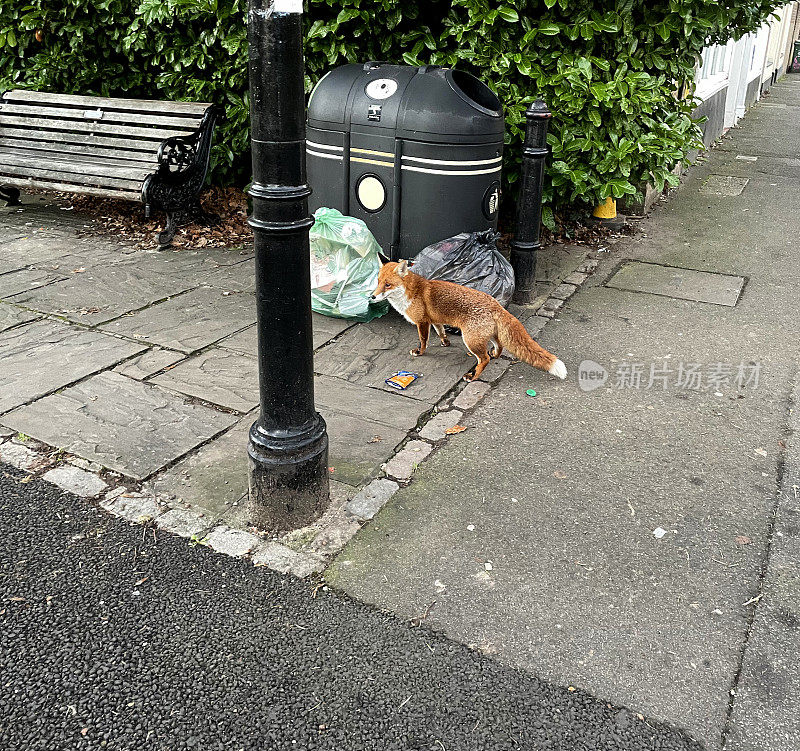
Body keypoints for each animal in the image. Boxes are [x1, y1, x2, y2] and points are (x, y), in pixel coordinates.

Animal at [372, 262, 564, 384]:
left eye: (388, 285)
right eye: (378, 282)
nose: (372, 297)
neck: (411, 292)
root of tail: (495, 303)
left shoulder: (422, 321)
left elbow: (423, 340)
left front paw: (420, 352)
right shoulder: (435, 320)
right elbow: (441, 332)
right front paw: (445, 342)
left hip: (470, 339)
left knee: (484, 359)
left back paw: (472, 376)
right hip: (486, 336)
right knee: (499, 346)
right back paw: (495, 355)